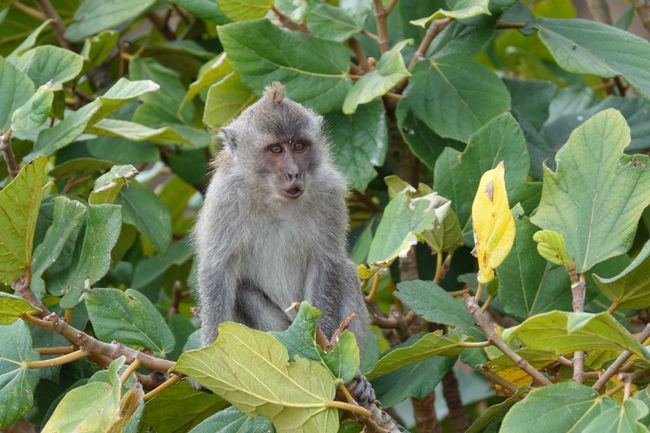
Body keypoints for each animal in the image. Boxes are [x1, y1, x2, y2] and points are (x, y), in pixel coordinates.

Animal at [192, 81, 370, 352]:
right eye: (275, 149)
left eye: (299, 146)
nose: (294, 173)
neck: (273, 200)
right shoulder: (225, 199)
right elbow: (217, 270)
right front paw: (212, 347)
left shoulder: (328, 193)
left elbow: (326, 263)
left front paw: (322, 344)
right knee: (242, 292)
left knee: (347, 272)